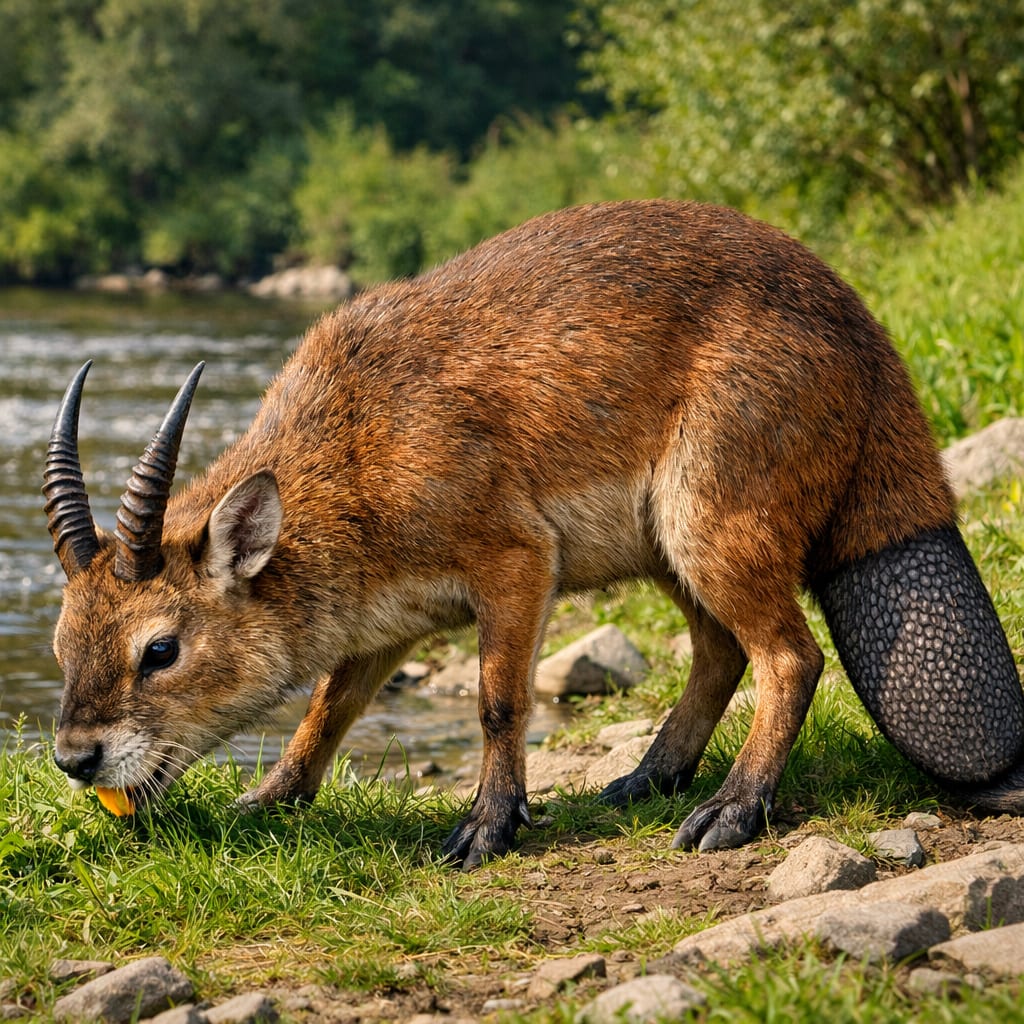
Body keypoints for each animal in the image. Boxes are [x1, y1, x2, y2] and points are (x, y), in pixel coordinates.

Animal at [44, 200, 1024, 867]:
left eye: (159, 649)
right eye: (61, 647)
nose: (73, 758)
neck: (354, 444)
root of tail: (873, 353)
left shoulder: (516, 561)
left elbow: (498, 700)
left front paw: (487, 826)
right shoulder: (381, 627)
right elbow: (326, 708)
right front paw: (267, 798)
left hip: (707, 518)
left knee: (790, 654)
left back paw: (732, 810)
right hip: (668, 547)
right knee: (720, 651)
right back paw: (646, 778)